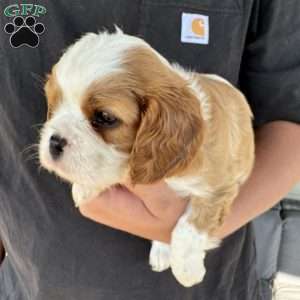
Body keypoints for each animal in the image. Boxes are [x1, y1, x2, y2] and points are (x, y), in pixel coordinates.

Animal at [39, 29, 255, 288]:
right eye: (54, 105)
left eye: (105, 117)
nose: (54, 142)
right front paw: (85, 187)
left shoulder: (219, 188)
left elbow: (188, 228)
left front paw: (188, 271)